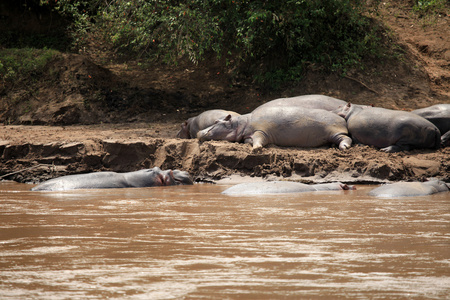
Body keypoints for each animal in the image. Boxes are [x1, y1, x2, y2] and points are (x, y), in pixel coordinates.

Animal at [197, 106, 352, 151]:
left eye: (217, 121)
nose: (199, 131)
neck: (240, 124)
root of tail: (342, 118)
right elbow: (248, 139)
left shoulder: (261, 131)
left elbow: (258, 138)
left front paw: (256, 149)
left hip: (334, 132)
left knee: (346, 138)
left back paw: (343, 147)